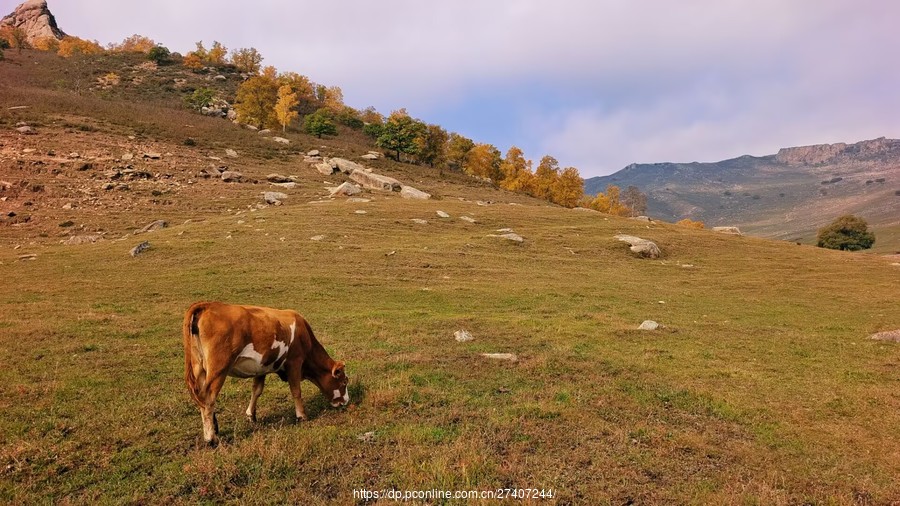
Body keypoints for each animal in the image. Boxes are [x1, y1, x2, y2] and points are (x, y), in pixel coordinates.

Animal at [182, 302, 348, 444]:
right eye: (344, 382)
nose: (346, 401)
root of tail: (207, 305)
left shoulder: (261, 367)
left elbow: (256, 390)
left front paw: (251, 415)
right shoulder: (295, 362)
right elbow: (296, 391)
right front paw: (301, 415)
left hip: (199, 367)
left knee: (201, 397)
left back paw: (215, 428)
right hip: (219, 368)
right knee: (208, 397)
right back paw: (211, 438)